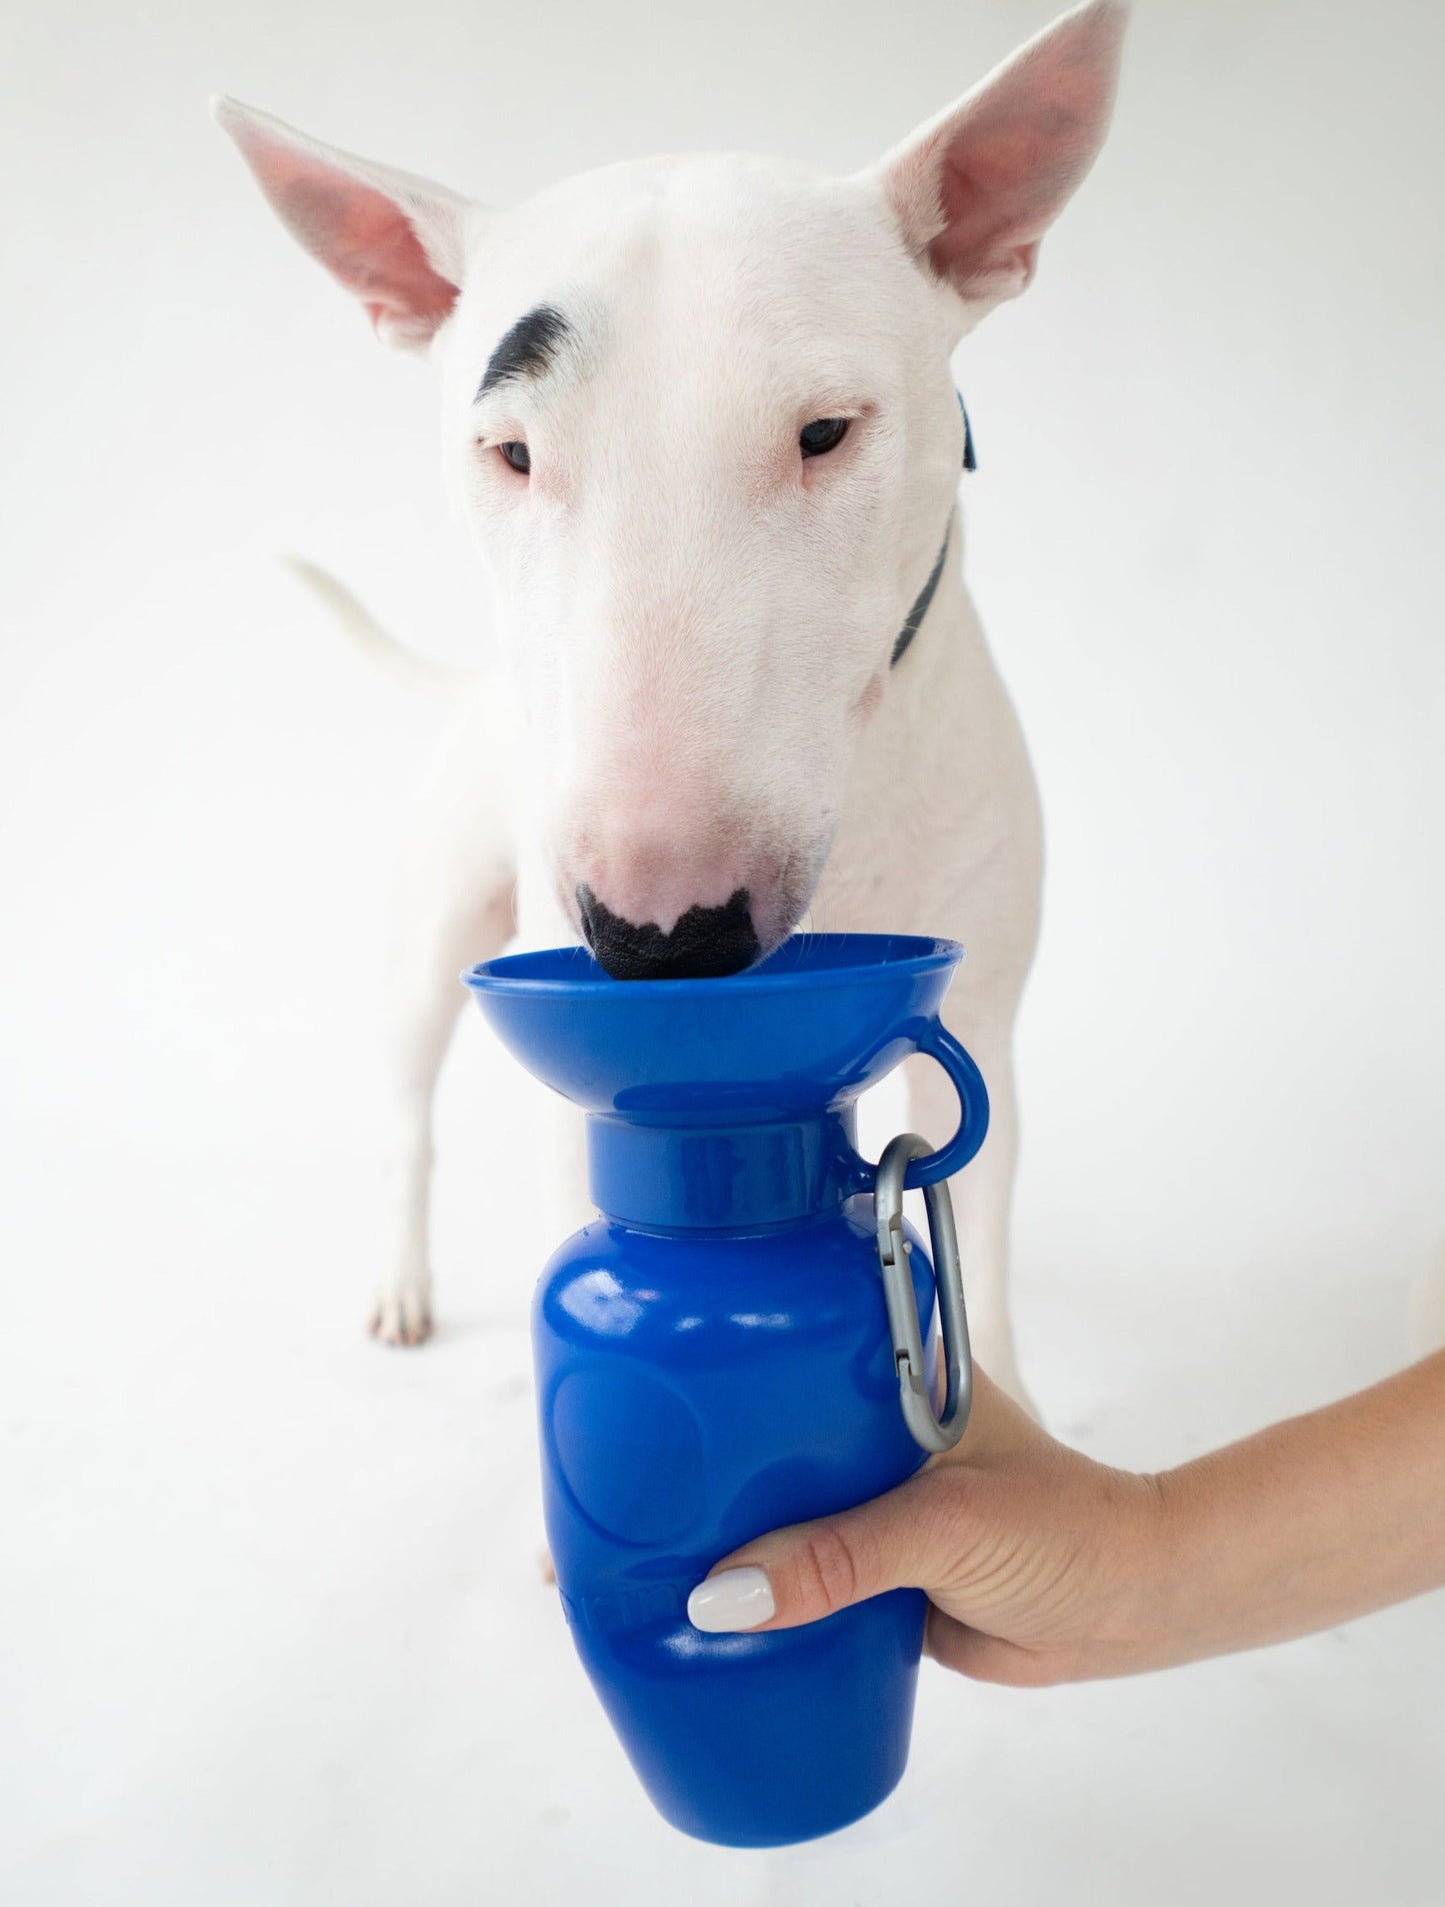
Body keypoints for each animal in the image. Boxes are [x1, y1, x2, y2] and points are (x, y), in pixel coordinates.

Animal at [221, 3, 1136, 1418]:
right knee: (408, 1118)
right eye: (510, 453)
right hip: (431, 936)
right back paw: (401, 1282)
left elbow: (972, 1201)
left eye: (825, 431)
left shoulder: (979, 1004)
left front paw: (1014, 1412)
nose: (662, 936)